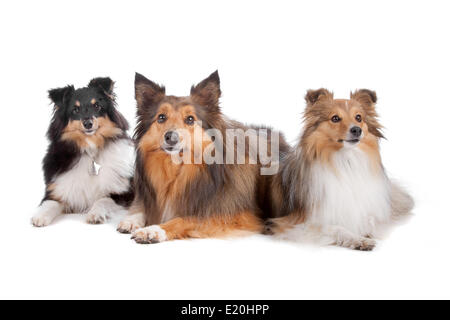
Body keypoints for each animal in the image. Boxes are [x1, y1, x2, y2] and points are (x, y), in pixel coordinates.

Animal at [31, 77, 134, 228]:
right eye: (75, 109)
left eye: (97, 106)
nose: (88, 123)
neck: (89, 147)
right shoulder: (56, 190)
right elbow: (50, 203)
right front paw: (40, 217)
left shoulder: (124, 193)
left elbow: (103, 200)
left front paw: (95, 214)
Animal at [264, 89, 414, 250]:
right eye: (335, 118)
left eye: (358, 117)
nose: (357, 130)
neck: (345, 161)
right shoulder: (294, 224)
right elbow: (335, 228)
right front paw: (358, 239)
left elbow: (369, 220)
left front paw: (366, 231)